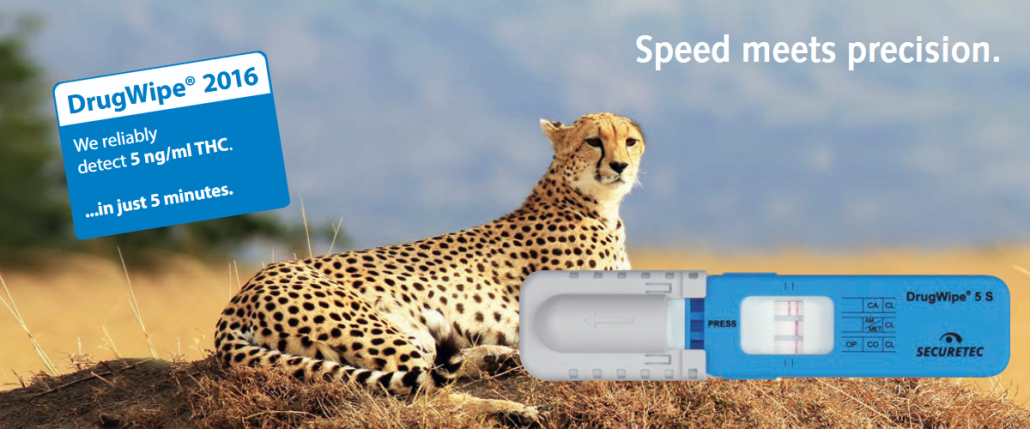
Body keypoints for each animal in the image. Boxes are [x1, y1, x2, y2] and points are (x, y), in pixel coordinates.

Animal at [214, 112, 646, 422]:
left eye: (630, 141)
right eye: (593, 141)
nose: (620, 166)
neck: (593, 202)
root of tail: (238, 297)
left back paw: (498, 359)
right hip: (371, 329)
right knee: (422, 395)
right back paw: (512, 410)